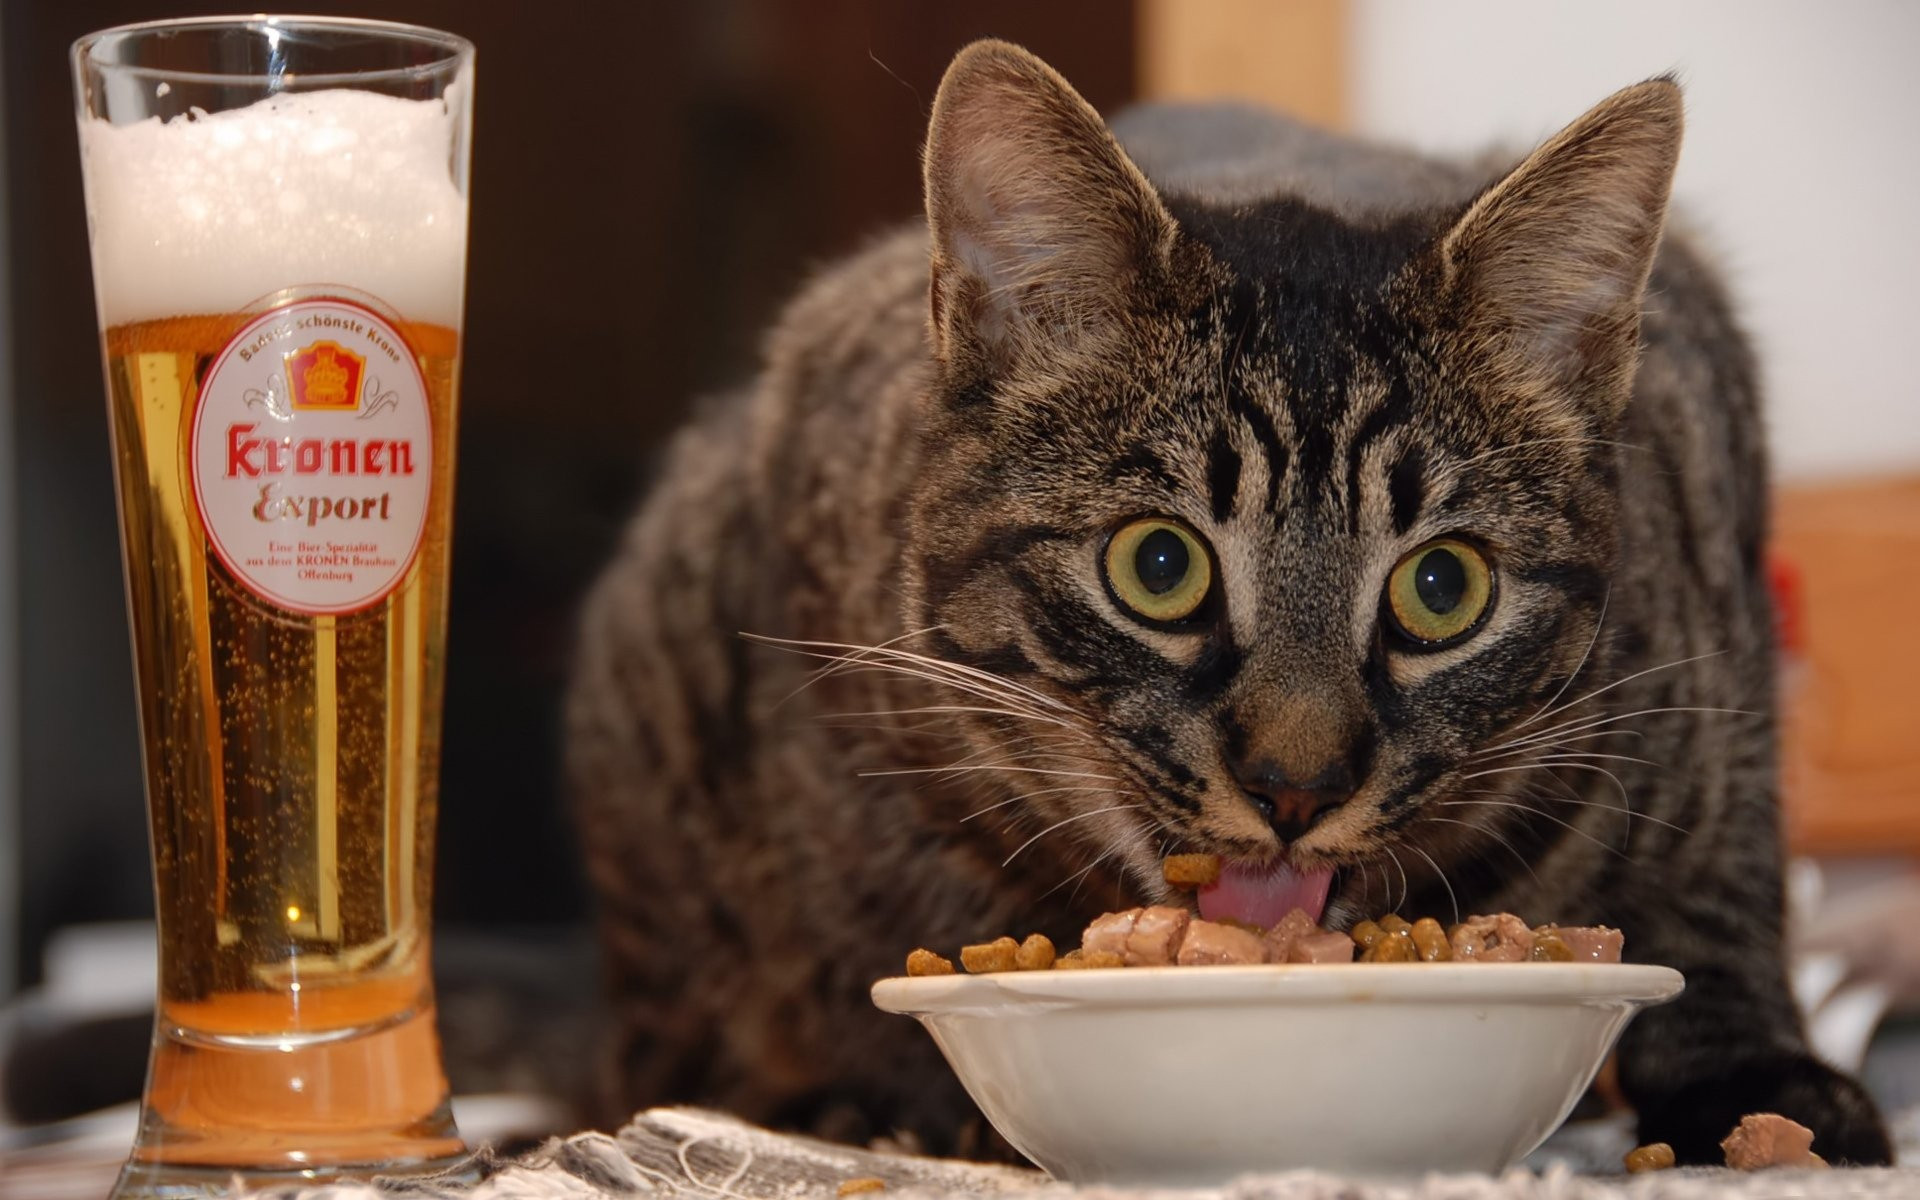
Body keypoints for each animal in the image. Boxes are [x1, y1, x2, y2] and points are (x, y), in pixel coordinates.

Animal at [564, 39, 1889, 1159]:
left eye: (1444, 587)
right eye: (1159, 566)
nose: (1297, 788)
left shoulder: (1714, 586)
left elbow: (1717, 874)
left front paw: (1760, 1083)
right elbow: (866, 876)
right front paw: (903, 1096)